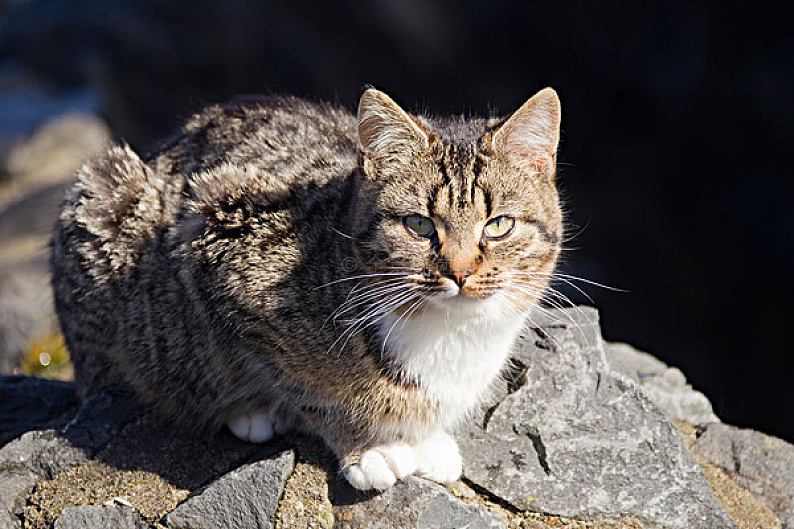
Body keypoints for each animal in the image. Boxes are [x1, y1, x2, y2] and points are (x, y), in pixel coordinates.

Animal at [52, 85, 560, 486]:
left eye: (499, 225)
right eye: (418, 225)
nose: (460, 272)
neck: (447, 332)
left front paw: (427, 441)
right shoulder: (222, 246)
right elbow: (311, 389)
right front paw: (370, 447)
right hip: (103, 196)